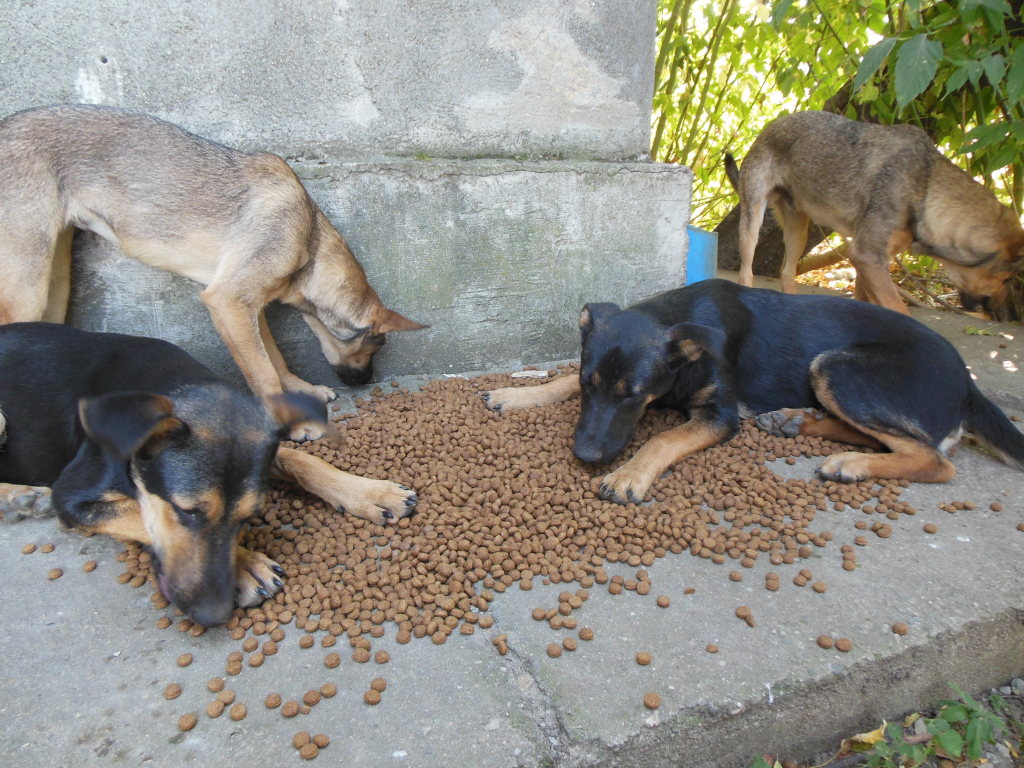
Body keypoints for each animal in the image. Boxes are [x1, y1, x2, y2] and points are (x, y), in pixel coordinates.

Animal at [0, 105, 428, 411]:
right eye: (376, 346)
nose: (367, 381)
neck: (310, 242)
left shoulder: (248, 309)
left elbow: (274, 359)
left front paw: (300, 389)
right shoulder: (228, 301)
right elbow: (263, 374)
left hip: (54, 282)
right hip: (27, 286)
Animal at [0, 321, 417, 626]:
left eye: (249, 517)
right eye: (186, 511)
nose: (212, 615)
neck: (179, 384)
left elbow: (305, 461)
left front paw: (369, 492)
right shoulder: (72, 495)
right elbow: (142, 516)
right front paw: (247, 566)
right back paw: (19, 498)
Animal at [481, 280, 1024, 507]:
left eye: (633, 397)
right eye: (589, 387)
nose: (586, 456)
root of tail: (969, 384)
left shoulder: (720, 416)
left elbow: (662, 439)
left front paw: (630, 475)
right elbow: (559, 379)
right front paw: (516, 395)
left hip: (836, 366)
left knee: (935, 459)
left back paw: (851, 463)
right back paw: (797, 422)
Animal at [724, 109, 1024, 319]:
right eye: (1006, 279)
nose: (1009, 316)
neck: (925, 187)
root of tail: (770, 127)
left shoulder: (870, 263)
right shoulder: (867, 257)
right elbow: (900, 311)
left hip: (799, 232)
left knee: (787, 274)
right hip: (753, 222)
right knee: (746, 273)